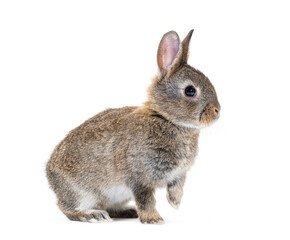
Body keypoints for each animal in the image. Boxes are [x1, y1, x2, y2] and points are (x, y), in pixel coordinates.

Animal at [46, 29, 220, 224]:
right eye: (190, 91)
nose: (217, 110)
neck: (166, 118)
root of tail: (49, 173)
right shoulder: (139, 178)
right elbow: (146, 199)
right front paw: (153, 219)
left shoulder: (178, 175)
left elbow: (176, 188)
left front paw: (175, 203)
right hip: (81, 193)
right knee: (67, 208)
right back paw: (92, 215)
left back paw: (127, 211)